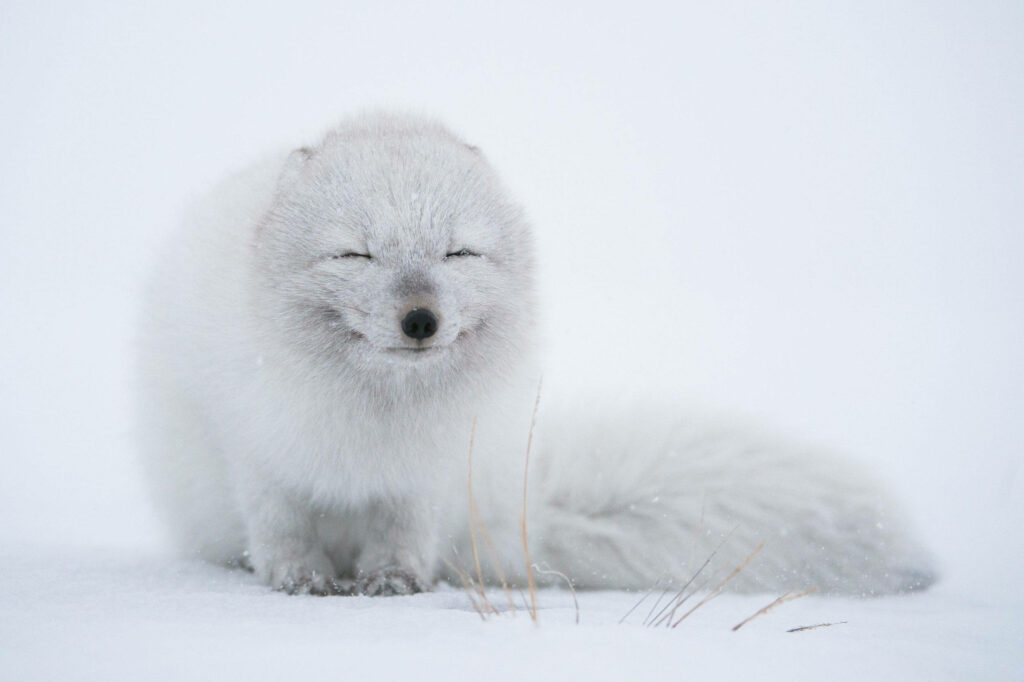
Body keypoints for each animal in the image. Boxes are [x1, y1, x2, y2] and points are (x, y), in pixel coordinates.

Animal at [138, 112, 934, 597]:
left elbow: (403, 534)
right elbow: (280, 526)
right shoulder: (257, 448)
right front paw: (299, 580)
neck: (379, 418)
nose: (421, 319)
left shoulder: (428, 474)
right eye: (354, 253)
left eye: (458, 253)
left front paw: (394, 583)